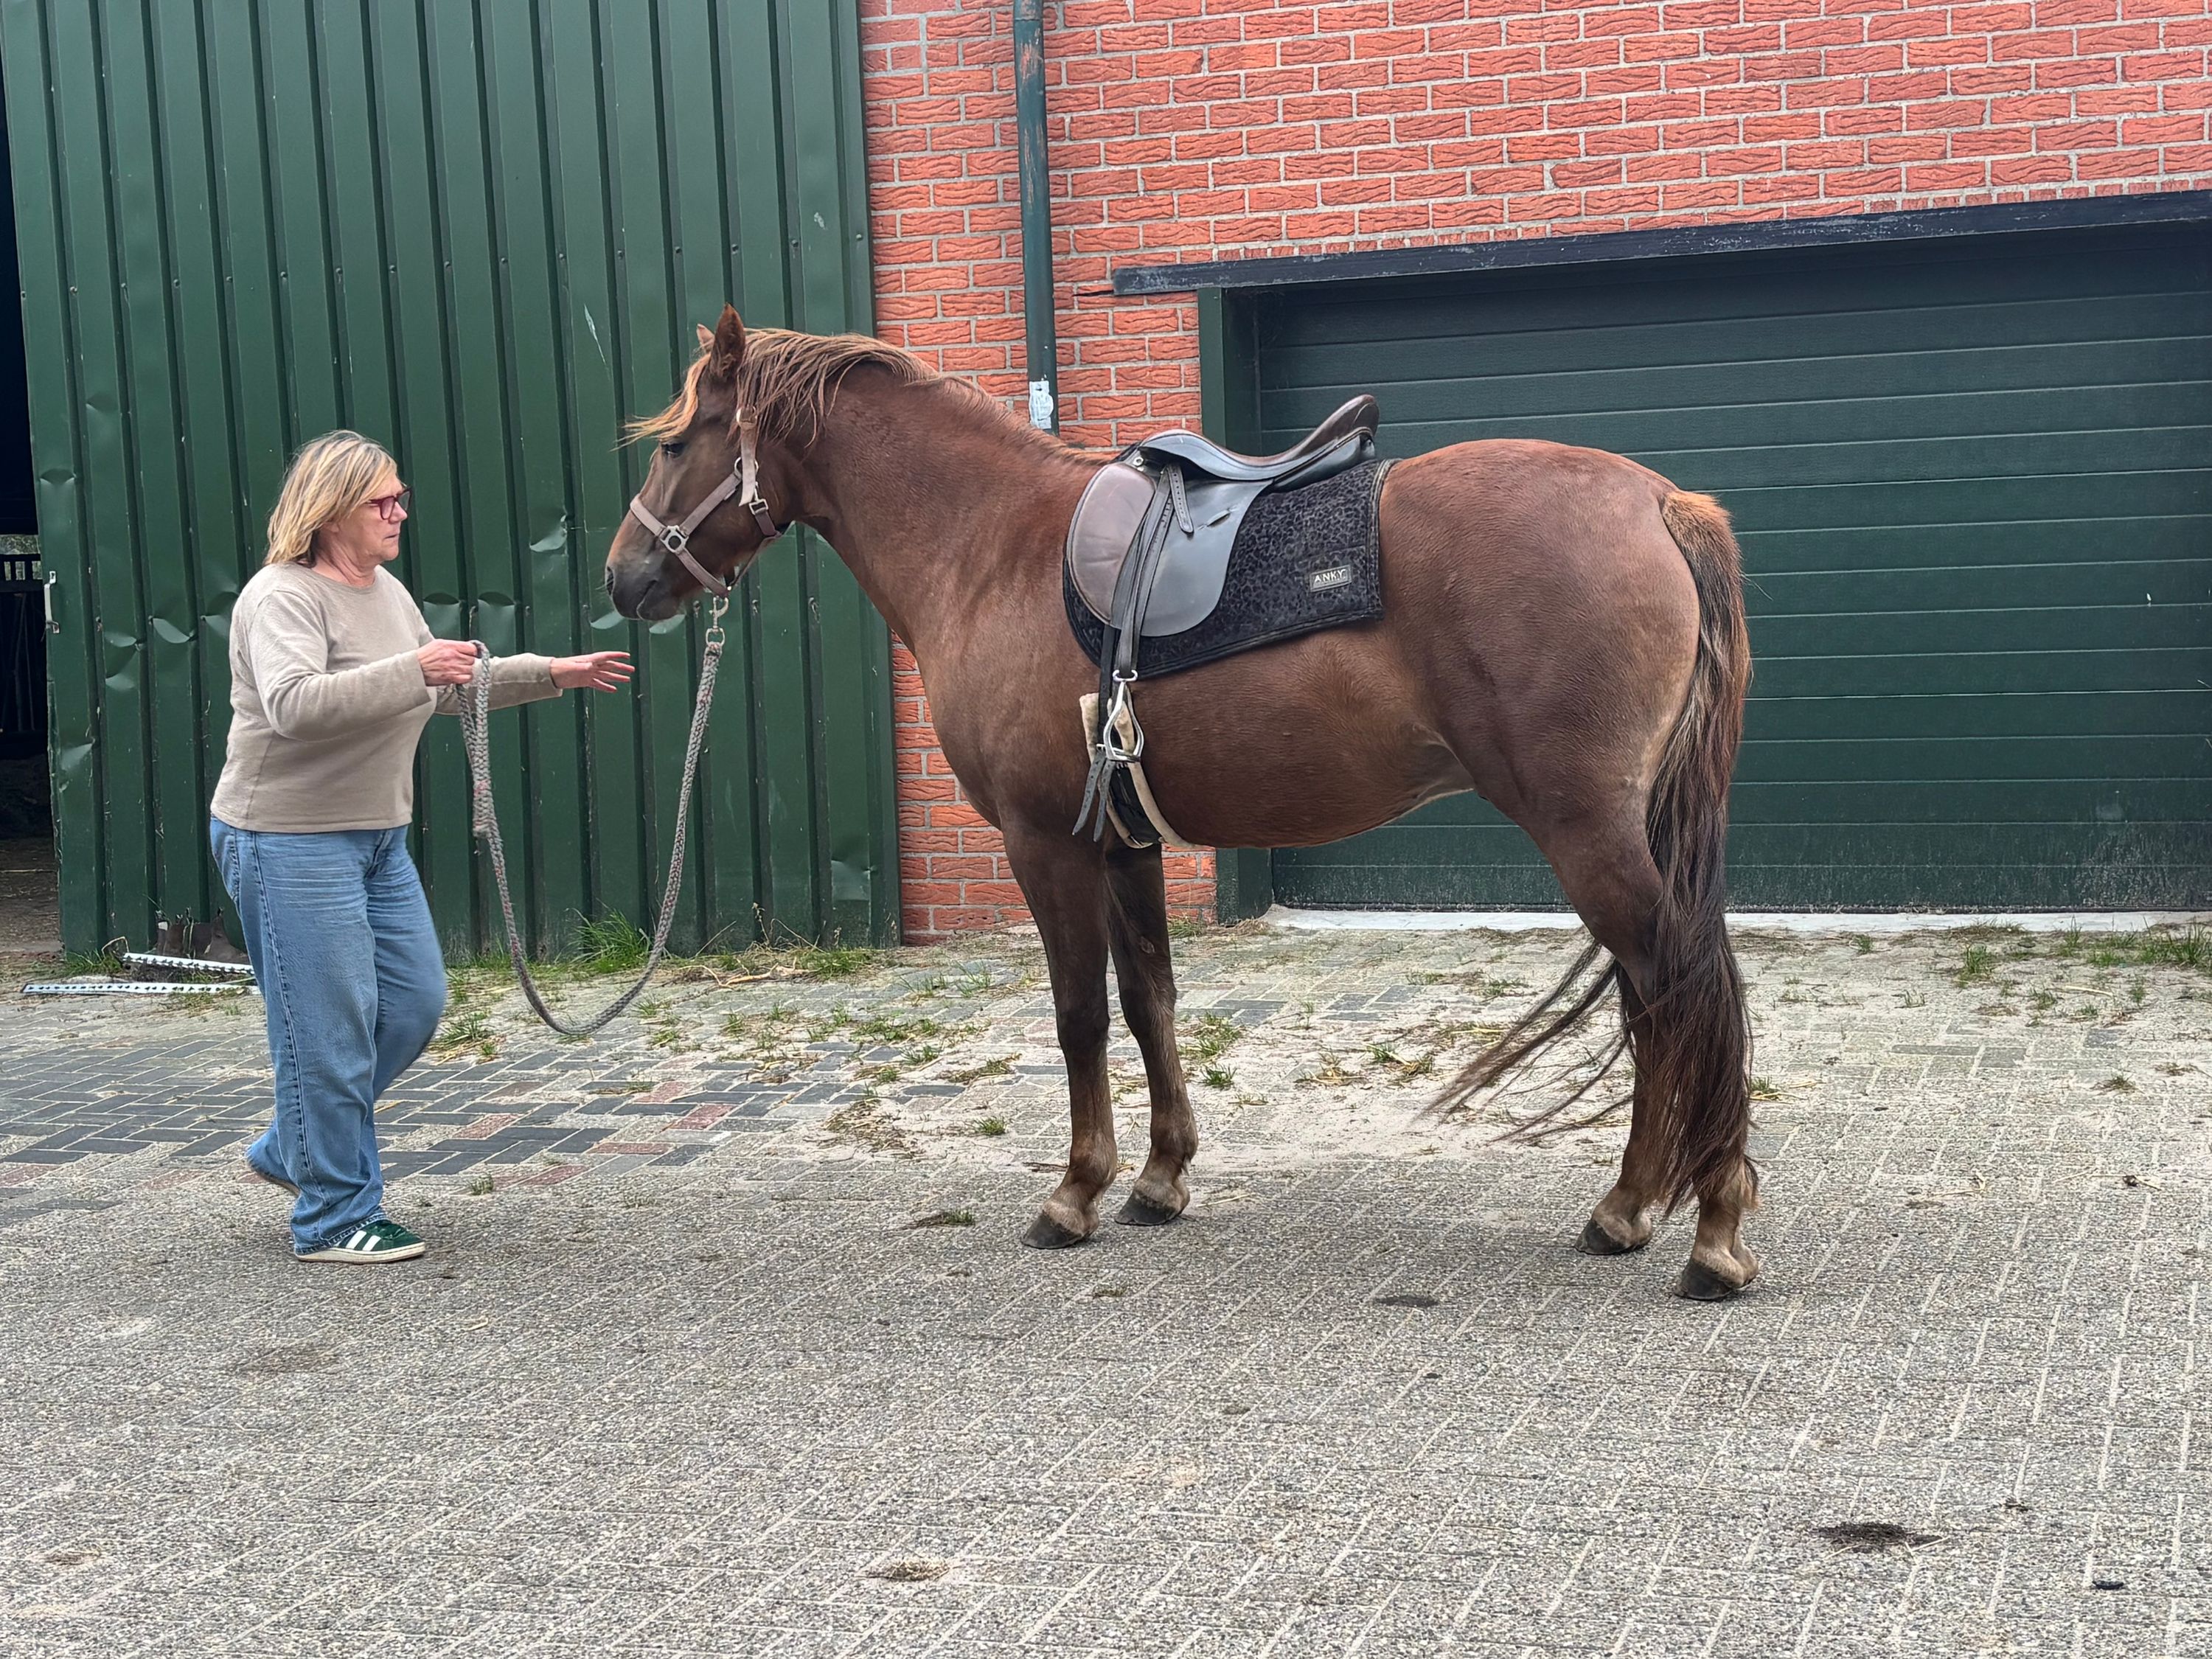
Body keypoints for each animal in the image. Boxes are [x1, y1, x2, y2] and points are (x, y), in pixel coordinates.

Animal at [606, 306, 1758, 1301]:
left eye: (675, 444)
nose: (624, 580)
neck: (989, 545)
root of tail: (1660, 506)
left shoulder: (1045, 845)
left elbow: (1077, 1015)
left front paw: (1075, 1192)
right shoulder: (1128, 845)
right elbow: (1148, 1000)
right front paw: (1160, 1179)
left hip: (1588, 834)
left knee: (1681, 986)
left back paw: (1707, 1233)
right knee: (1657, 1000)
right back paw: (1634, 1207)